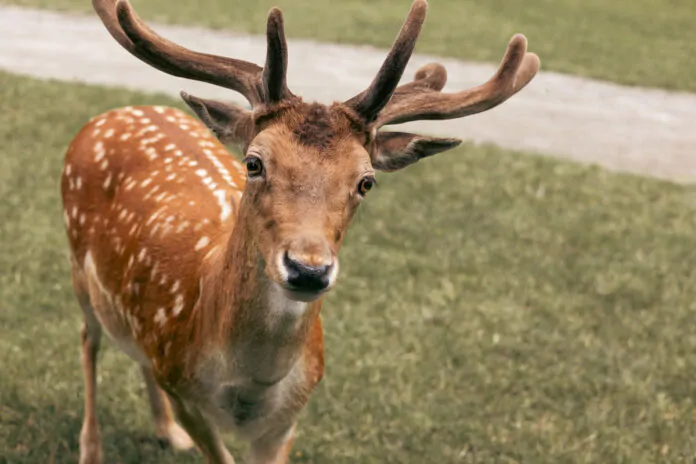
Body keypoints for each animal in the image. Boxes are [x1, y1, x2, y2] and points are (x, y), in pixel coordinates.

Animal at [62, 0, 540, 462]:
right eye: (253, 162)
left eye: (366, 182)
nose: (308, 269)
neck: (250, 386)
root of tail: (116, 113)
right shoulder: (181, 387)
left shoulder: (289, 418)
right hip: (77, 264)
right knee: (88, 339)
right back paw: (91, 449)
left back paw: (167, 433)